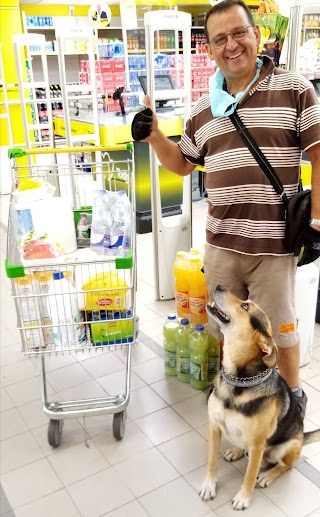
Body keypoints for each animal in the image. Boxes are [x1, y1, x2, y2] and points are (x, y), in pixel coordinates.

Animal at [200, 284, 320, 510]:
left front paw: (243, 498)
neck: (239, 381)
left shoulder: (257, 444)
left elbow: (249, 474)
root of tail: (301, 437)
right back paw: (237, 451)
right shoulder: (214, 426)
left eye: (245, 306)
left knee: (286, 465)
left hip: (287, 447)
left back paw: (267, 475)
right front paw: (209, 485)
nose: (219, 286)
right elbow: (211, 461)